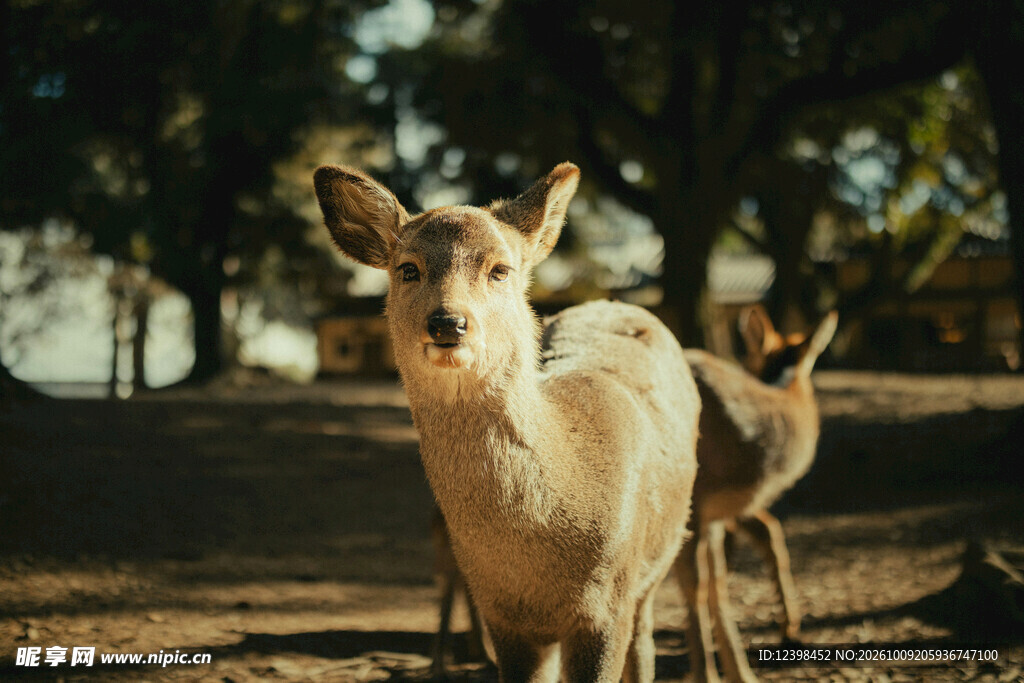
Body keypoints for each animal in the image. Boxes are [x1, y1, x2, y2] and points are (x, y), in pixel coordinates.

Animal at [313, 161, 701, 682]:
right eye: (408, 268)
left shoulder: (610, 599)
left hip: (658, 560)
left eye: (500, 269)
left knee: (644, 642)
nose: (448, 323)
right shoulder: (503, 616)